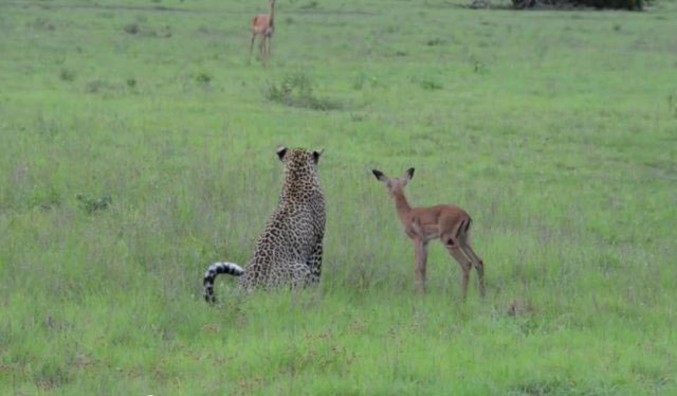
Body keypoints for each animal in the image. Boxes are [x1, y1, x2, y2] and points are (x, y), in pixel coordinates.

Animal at [203, 145, 324, 304]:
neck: (296, 179)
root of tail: (245, 292)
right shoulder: (318, 243)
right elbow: (316, 274)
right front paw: (316, 294)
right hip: (300, 268)